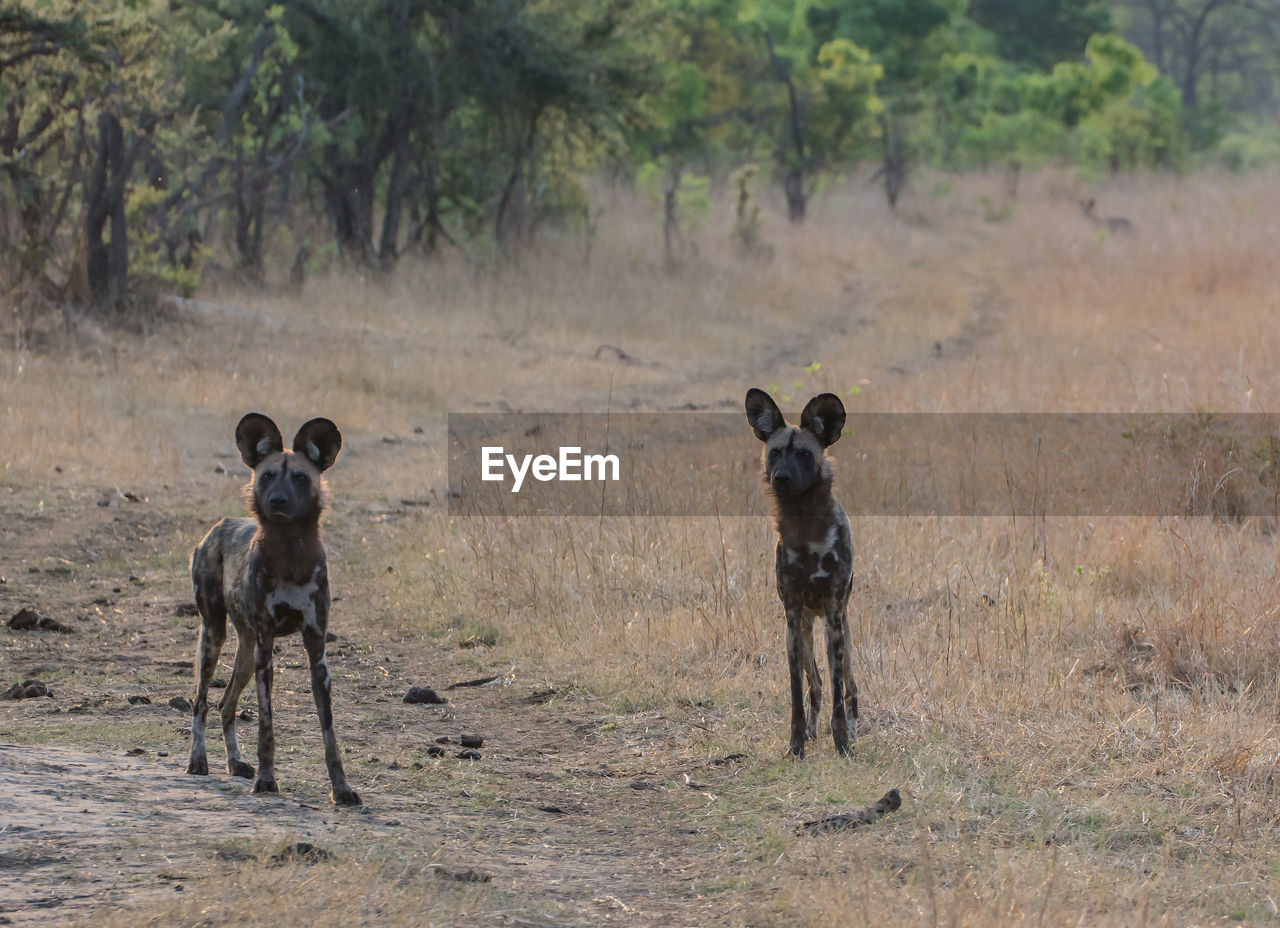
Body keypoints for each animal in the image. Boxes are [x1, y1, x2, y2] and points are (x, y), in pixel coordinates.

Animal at [184, 412, 360, 803]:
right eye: (266, 476)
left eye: (300, 478)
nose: (278, 500)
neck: (290, 555)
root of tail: (219, 525)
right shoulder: (267, 647)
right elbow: (266, 725)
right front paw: (266, 780)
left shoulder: (316, 650)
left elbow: (330, 736)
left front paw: (341, 789)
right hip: (215, 638)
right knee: (202, 701)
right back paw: (198, 761)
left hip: (247, 651)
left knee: (226, 704)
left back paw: (235, 762)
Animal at [747, 386, 855, 757]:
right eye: (775, 452)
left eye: (805, 455)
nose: (781, 477)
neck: (806, 531)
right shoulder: (792, 619)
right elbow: (797, 693)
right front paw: (796, 746)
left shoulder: (834, 619)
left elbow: (838, 694)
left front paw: (843, 745)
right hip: (806, 632)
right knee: (816, 683)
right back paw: (810, 730)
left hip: (840, 630)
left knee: (848, 685)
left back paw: (854, 725)